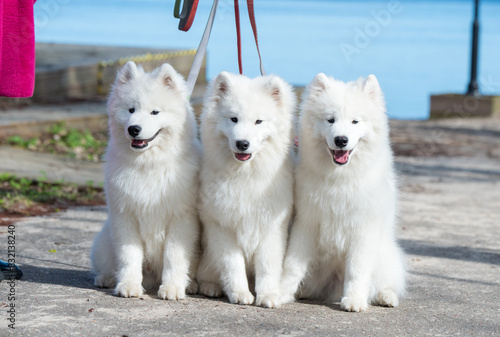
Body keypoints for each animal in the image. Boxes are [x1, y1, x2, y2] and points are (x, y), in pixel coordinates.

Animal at [91, 61, 200, 300]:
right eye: (130, 109)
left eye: (155, 112)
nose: (134, 129)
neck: (148, 164)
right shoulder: (125, 216)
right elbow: (129, 256)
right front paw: (128, 285)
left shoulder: (180, 219)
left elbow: (174, 257)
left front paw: (172, 288)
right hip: (105, 240)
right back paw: (106, 278)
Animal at [195, 71, 296, 308]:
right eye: (233, 119)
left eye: (258, 121)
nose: (242, 143)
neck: (245, 175)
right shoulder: (222, 227)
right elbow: (233, 265)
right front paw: (240, 293)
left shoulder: (271, 228)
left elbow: (268, 266)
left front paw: (268, 295)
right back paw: (211, 287)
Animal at [282, 75, 406, 312]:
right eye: (330, 120)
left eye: (355, 122)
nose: (341, 140)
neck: (340, 177)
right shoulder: (306, 223)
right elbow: (292, 264)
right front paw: (278, 291)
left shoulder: (363, 230)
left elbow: (357, 270)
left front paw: (354, 300)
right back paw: (303, 291)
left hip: (384, 258)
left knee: (385, 283)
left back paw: (386, 297)